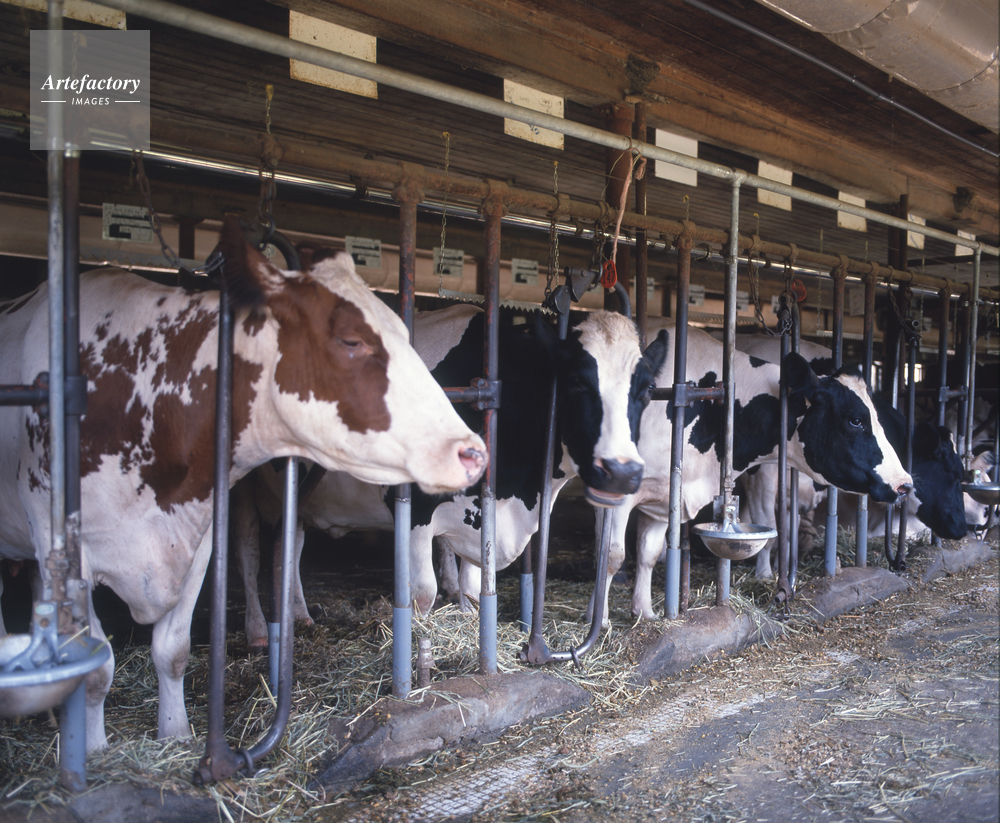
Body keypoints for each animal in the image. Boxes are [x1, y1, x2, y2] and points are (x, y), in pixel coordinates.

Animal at [0, 216, 487, 752]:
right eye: (351, 339)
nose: (471, 449)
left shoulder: (195, 539)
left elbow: (173, 648)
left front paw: (177, 737)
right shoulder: (66, 551)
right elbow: (94, 668)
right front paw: (94, 751)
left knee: (289, 547)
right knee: (254, 552)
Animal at [235, 304, 669, 646]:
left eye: (647, 389)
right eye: (577, 381)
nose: (621, 473)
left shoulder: (480, 516)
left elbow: (474, 588)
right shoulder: (414, 509)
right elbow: (423, 593)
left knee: (289, 545)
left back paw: (299, 616)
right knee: (249, 551)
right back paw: (259, 632)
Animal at [593, 319, 913, 624]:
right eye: (856, 420)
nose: (904, 484)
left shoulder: (664, 493)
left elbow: (646, 553)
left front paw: (645, 613)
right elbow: (611, 554)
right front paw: (602, 620)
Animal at [736, 334, 978, 577]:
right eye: (955, 475)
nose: (962, 528)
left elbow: (788, 530)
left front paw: (782, 568)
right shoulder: (761, 476)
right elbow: (768, 528)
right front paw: (765, 575)